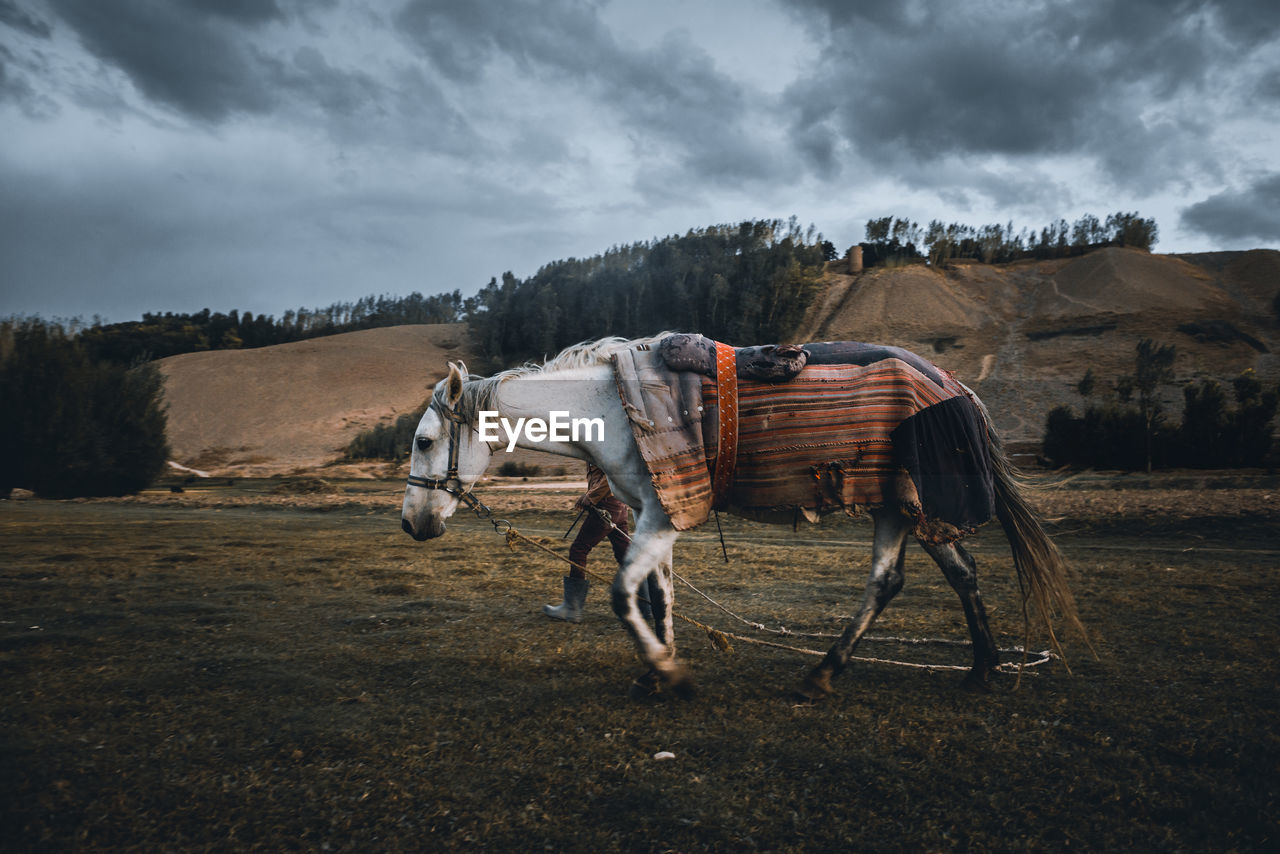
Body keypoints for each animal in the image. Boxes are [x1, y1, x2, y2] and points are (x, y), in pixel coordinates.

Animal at [399, 332, 1080, 701]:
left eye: (425, 441)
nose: (411, 523)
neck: (608, 403)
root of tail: (956, 386)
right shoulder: (650, 513)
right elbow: (658, 598)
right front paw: (656, 672)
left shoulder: (661, 512)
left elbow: (623, 595)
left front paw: (668, 675)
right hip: (899, 504)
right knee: (931, 576)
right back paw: (973, 669)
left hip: (908, 499)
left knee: (909, 578)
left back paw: (834, 674)